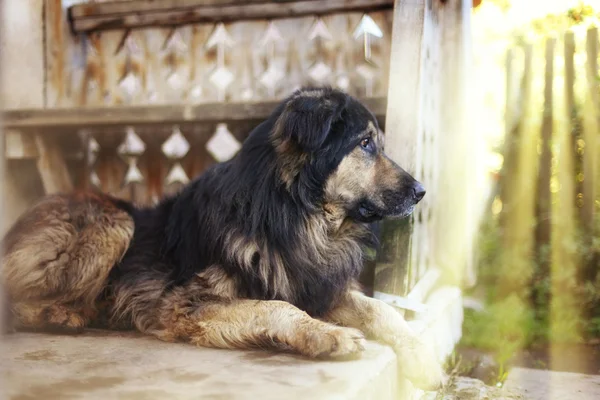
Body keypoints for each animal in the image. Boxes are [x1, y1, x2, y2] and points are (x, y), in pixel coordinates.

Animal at [1, 87, 446, 390]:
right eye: (365, 144)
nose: (422, 191)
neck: (290, 218)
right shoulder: (185, 304)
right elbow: (276, 307)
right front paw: (328, 335)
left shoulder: (316, 284)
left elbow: (381, 310)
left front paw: (420, 354)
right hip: (115, 222)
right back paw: (59, 315)